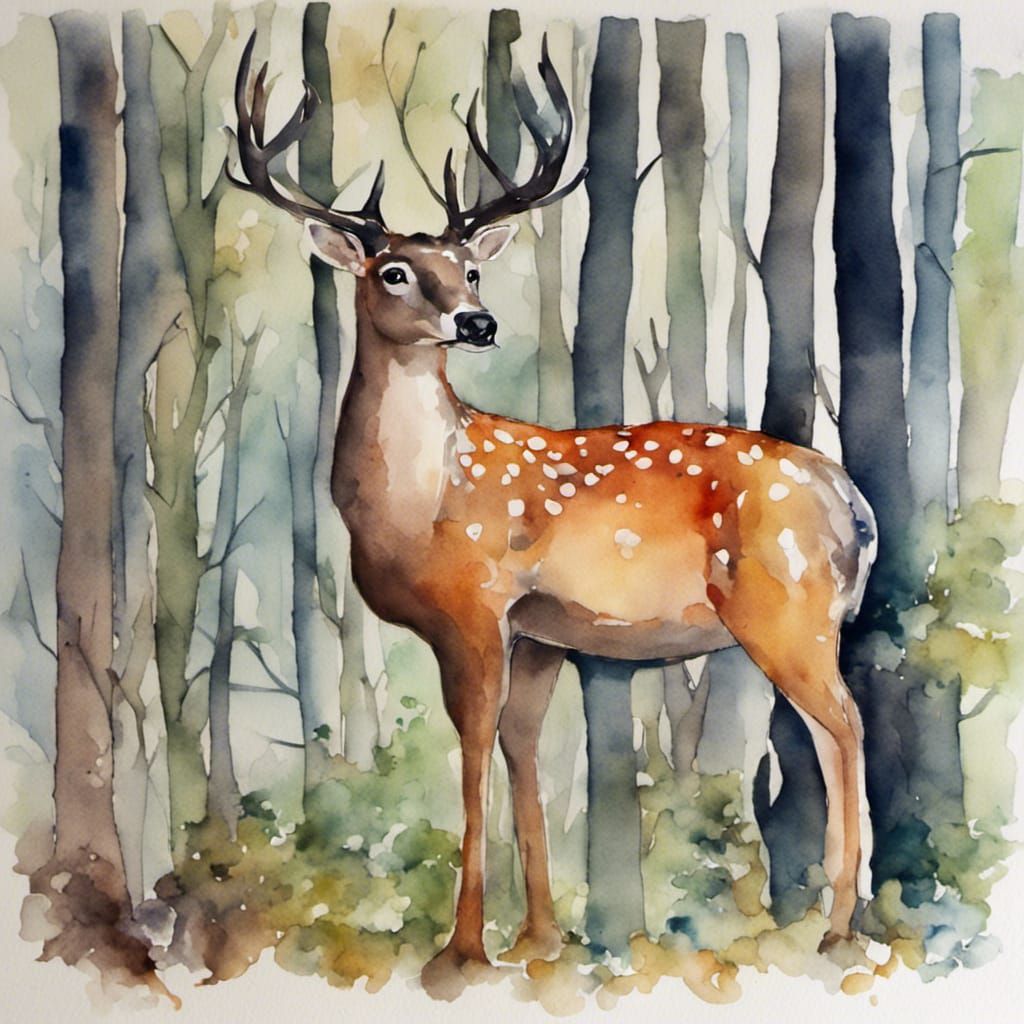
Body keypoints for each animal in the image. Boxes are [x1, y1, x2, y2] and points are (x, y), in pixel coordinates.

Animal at [230, 32, 877, 995]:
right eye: (394, 271)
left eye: (469, 269)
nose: (478, 321)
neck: (418, 502)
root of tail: (855, 506)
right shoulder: (539, 631)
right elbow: (521, 753)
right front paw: (538, 938)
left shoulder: (474, 607)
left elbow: (470, 753)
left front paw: (459, 951)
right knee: (836, 729)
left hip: (785, 608)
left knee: (843, 727)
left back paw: (838, 930)